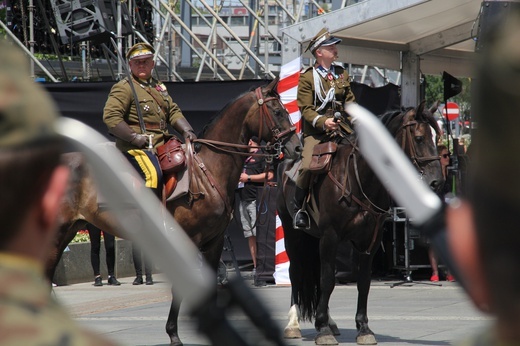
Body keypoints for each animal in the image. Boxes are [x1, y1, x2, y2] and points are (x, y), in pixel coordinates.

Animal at [49, 78, 300, 346]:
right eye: (277, 111)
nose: (296, 147)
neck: (208, 169)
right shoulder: (188, 239)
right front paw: (173, 333)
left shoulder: (214, 242)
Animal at [276, 101, 442, 344]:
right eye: (420, 138)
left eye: (437, 137)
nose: (437, 181)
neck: (359, 177)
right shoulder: (330, 236)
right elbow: (328, 280)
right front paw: (322, 329)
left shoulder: (369, 241)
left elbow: (363, 282)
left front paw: (363, 328)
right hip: (292, 232)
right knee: (295, 271)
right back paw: (293, 323)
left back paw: (331, 322)